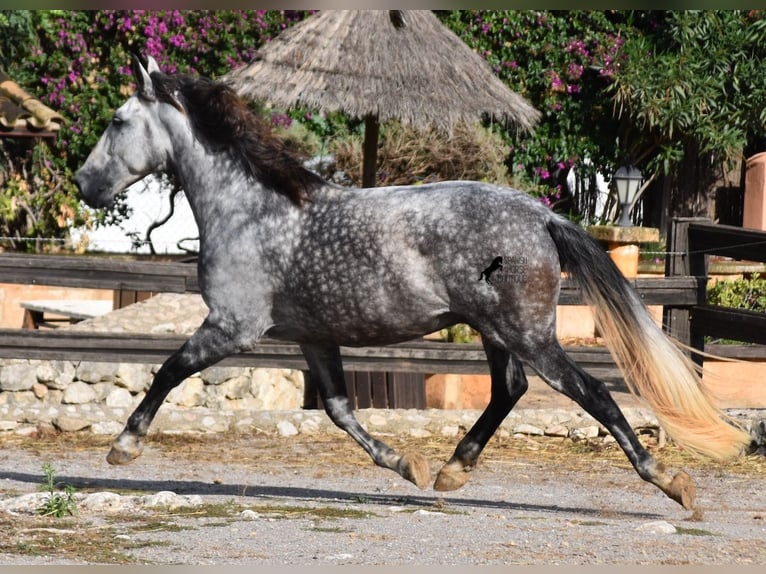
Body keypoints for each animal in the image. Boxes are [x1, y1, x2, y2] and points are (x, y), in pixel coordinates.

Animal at [75, 55, 752, 512]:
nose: (85, 185)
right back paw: (452, 472)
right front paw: (407, 466)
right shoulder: (312, 337)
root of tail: (541, 214)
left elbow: (168, 370)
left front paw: (123, 446)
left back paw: (671, 482)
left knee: (591, 392)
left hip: (526, 331)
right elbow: (340, 410)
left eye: (116, 120)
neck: (252, 210)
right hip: (495, 329)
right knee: (510, 389)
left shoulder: (231, 326)